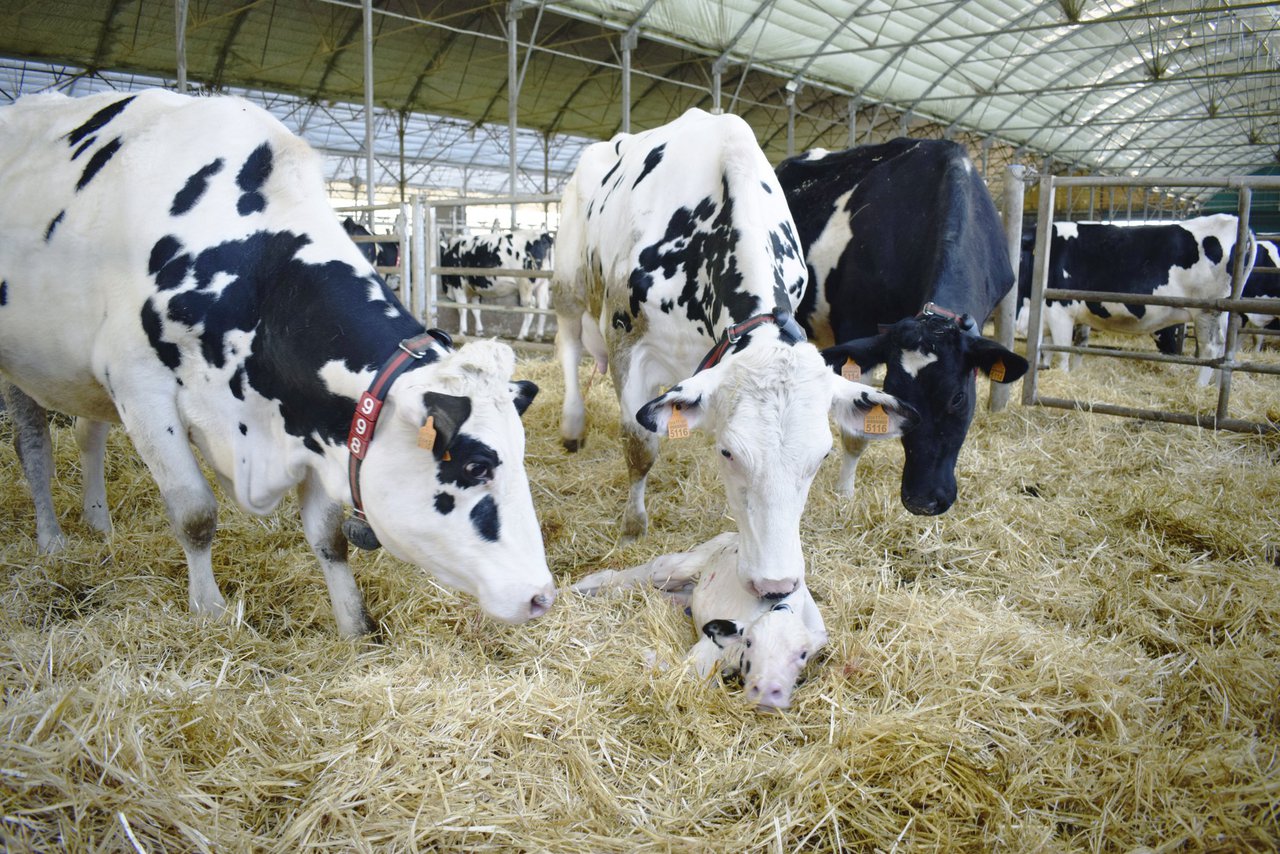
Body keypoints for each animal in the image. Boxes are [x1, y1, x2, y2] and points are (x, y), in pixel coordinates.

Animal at [0, 89, 555, 635]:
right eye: (476, 464)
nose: (541, 596)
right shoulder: (140, 390)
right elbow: (195, 513)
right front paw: (210, 613)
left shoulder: (311, 418)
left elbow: (329, 535)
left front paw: (354, 625)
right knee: (35, 446)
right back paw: (52, 540)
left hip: (81, 376)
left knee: (87, 435)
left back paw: (98, 522)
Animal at [553, 108, 917, 600]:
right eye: (728, 453)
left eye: (821, 457)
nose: (777, 582)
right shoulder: (627, 340)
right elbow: (640, 446)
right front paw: (632, 531)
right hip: (568, 281)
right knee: (569, 345)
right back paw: (573, 425)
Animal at [572, 532, 827, 711]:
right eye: (749, 642)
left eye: (803, 654)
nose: (765, 690)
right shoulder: (703, 656)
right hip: (679, 567)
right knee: (643, 570)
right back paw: (579, 587)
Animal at [775, 139, 1028, 517]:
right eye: (895, 390)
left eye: (957, 397)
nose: (922, 501)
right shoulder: (857, 325)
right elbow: (858, 432)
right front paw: (845, 494)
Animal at [1014, 215, 1255, 384]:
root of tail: (1233, 219)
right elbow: (1071, 346)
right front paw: (1070, 372)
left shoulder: (1059, 311)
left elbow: (1062, 350)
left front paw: (1063, 376)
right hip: (1223, 314)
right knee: (1224, 347)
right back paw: (1217, 385)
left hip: (1207, 311)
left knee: (1210, 348)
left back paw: (1200, 388)